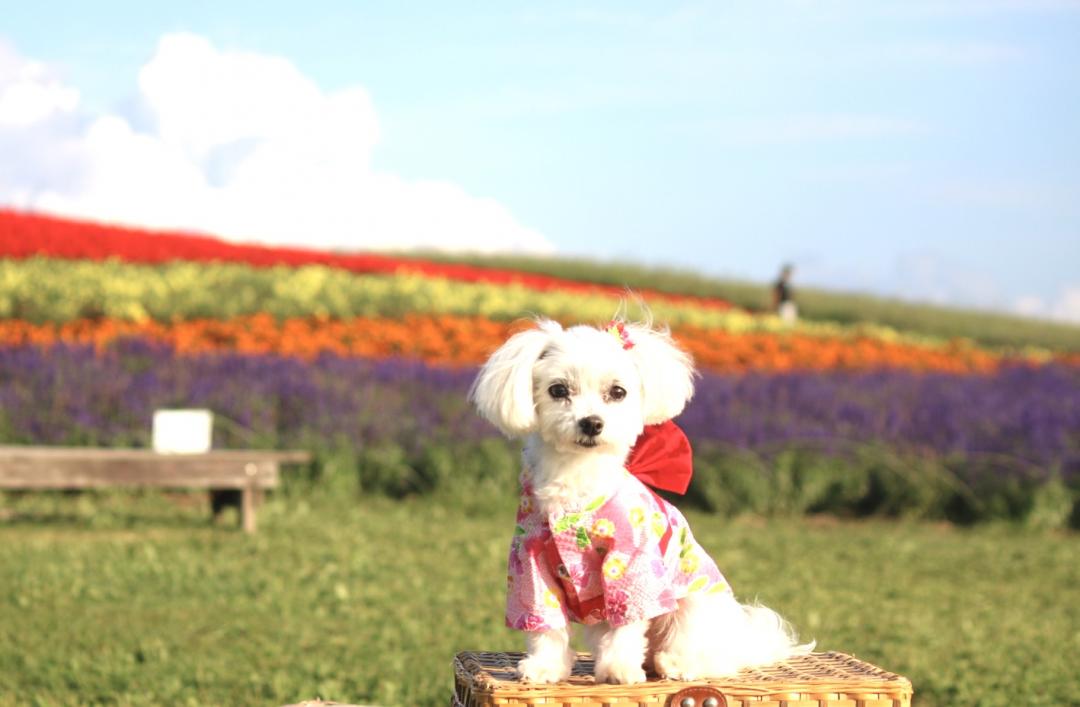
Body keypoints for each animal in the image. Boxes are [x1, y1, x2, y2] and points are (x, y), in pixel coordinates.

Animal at [468, 321, 812, 686]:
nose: (592, 422)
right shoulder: (530, 566)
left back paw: (677, 663)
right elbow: (546, 624)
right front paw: (545, 667)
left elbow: (629, 621)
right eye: (558, 390)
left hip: (694, 604)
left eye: (618, 392)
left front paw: (620, 670)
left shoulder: (632, 564)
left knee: (711, 657)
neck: (576, 477)